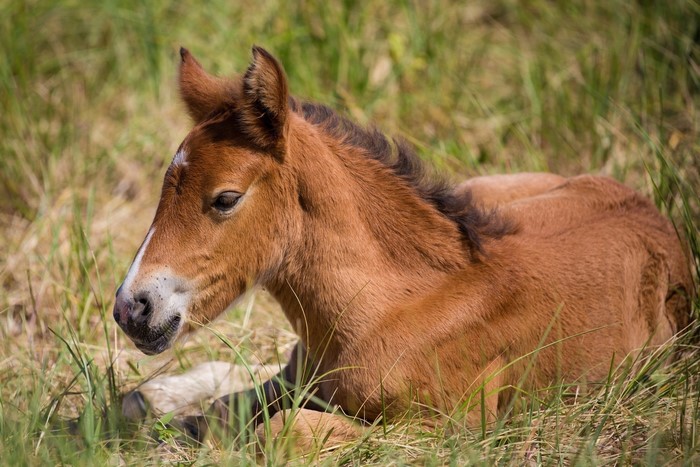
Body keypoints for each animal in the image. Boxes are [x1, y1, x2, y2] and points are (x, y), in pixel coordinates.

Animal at [113, 46, 694, 452]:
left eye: (226, 198)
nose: (131, 308)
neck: (390, 307)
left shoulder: (452, 429)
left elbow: (281, 431)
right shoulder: (299, 379)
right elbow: (221, 411)